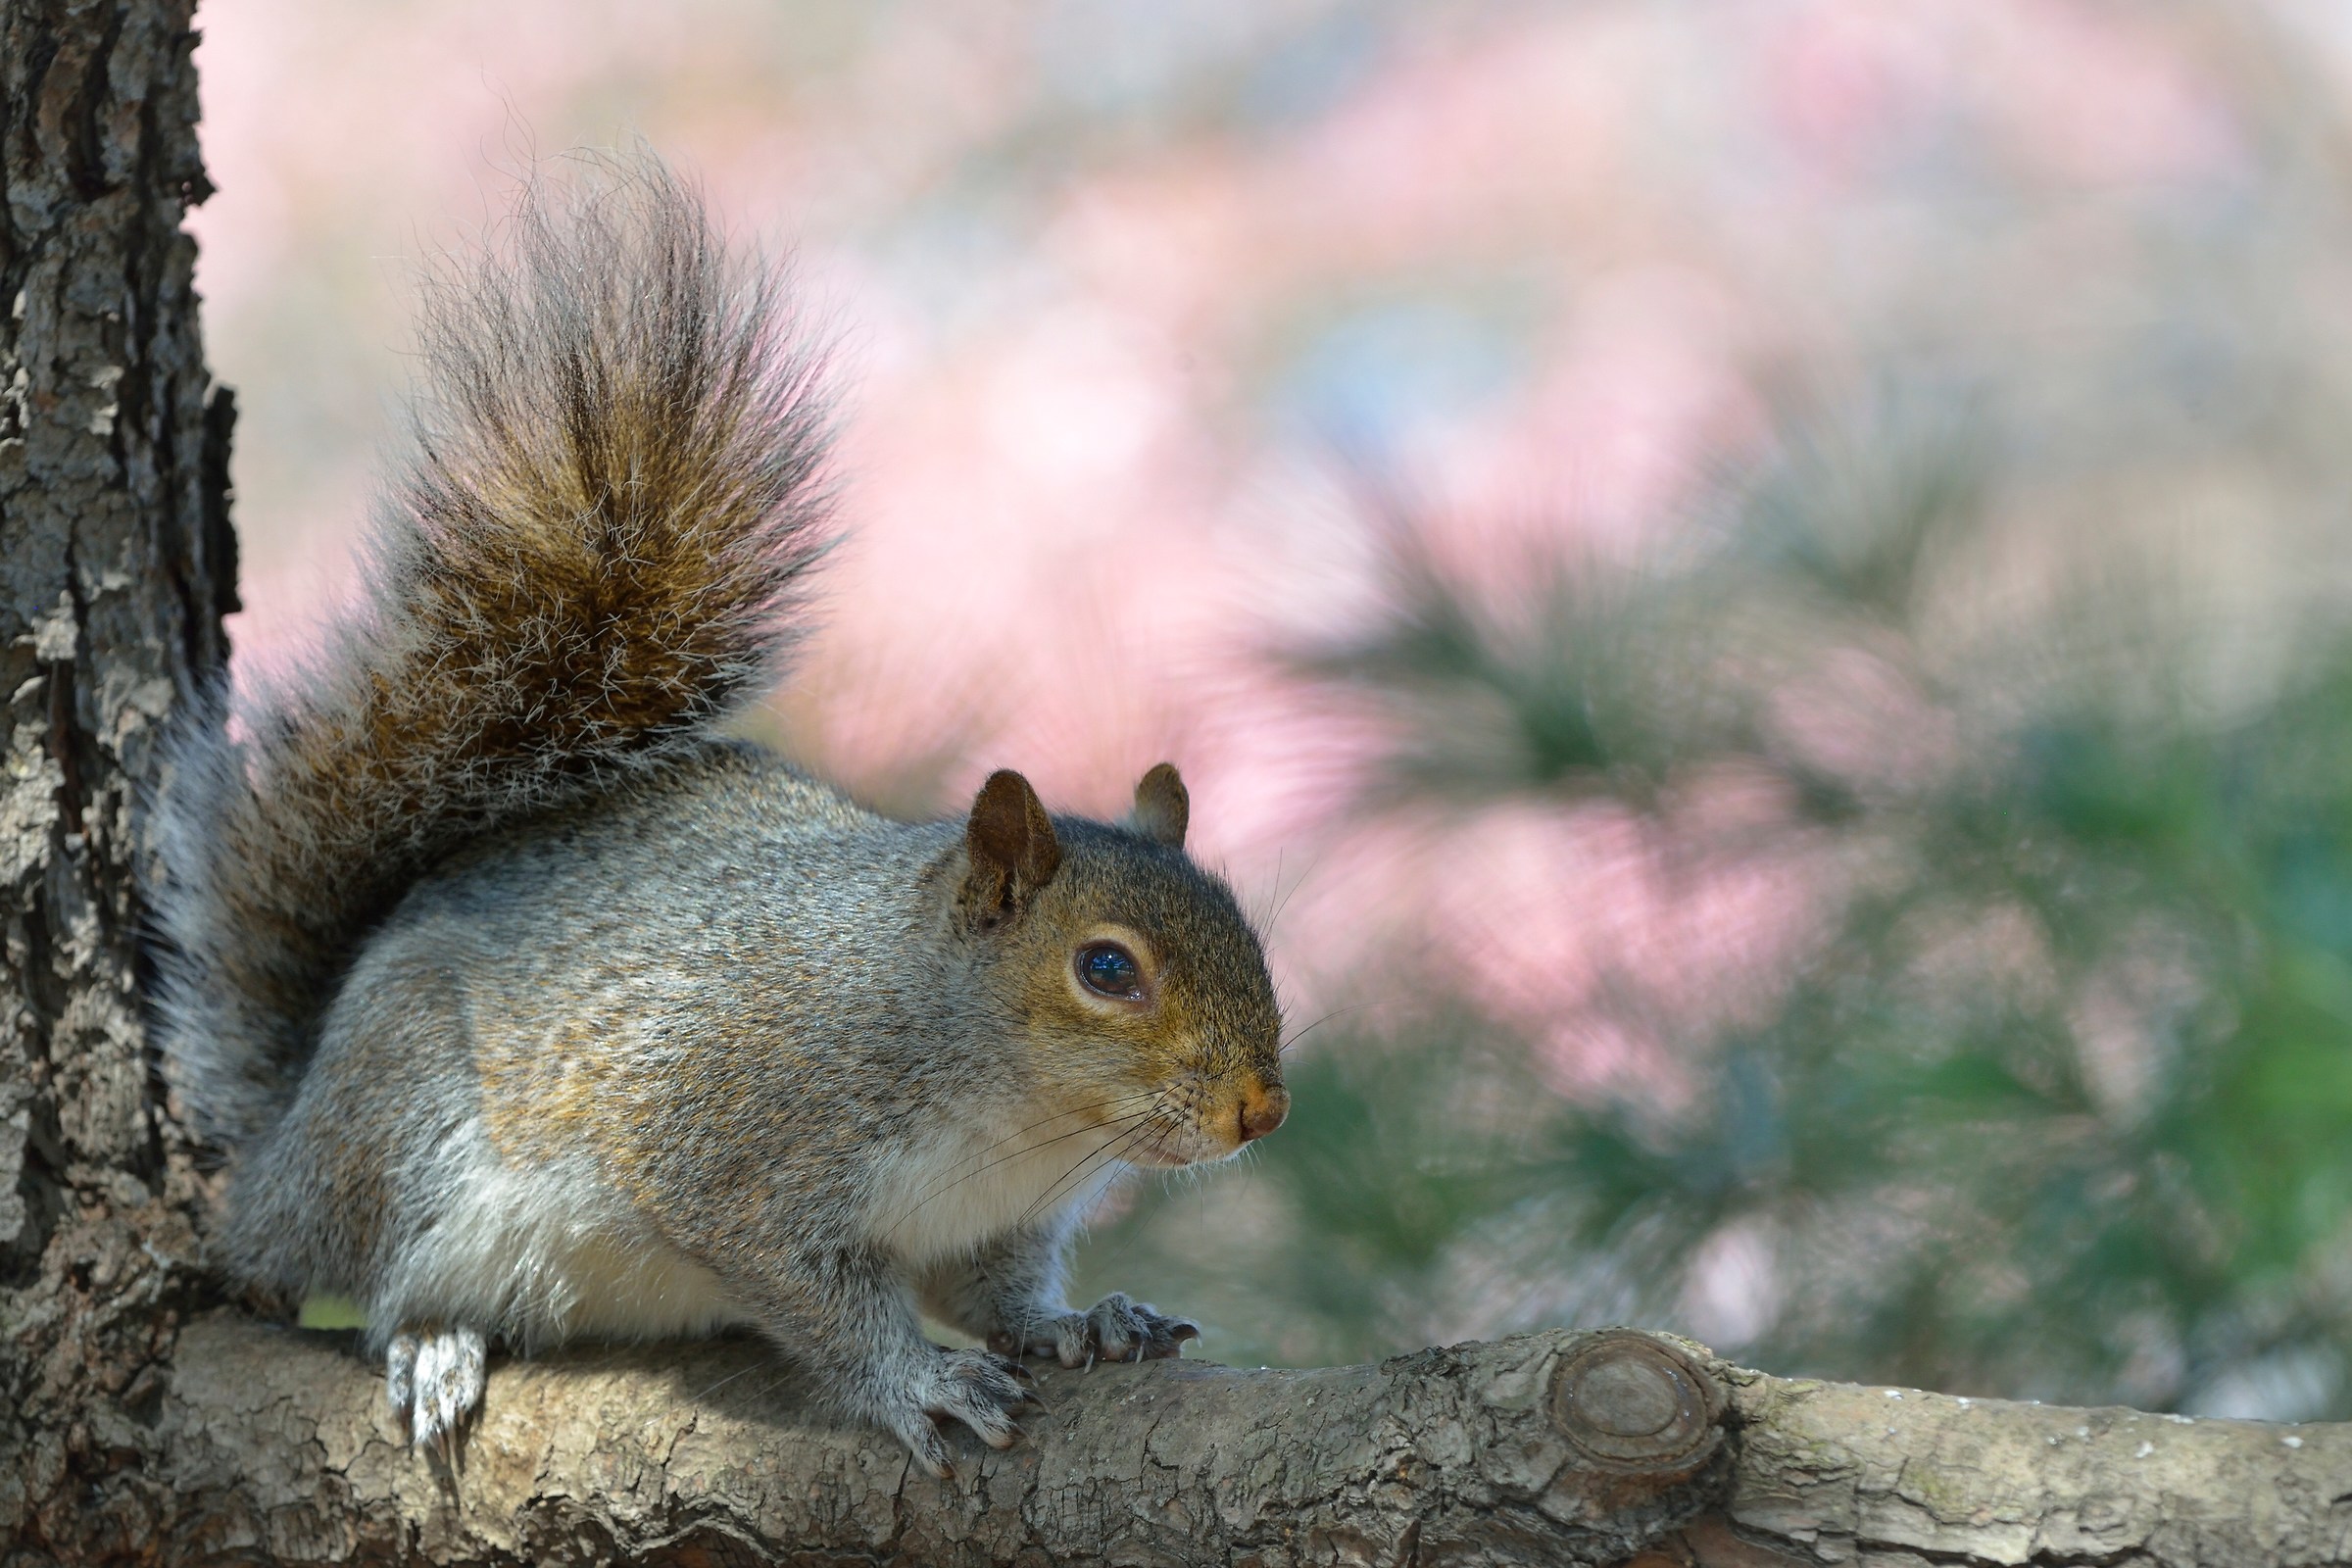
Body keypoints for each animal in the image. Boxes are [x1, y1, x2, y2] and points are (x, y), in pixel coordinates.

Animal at [149, 153, 1289, 1477]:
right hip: (405, 1135)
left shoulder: (990, 1223)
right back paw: (434, 1343)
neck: (1012, 1109)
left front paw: (1079, 1324)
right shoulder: (732, 1143)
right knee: (379, 1278)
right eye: (1106, 968)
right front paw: (916, 1382)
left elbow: (997, 1294)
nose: (1264, 1107)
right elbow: (813, 1294)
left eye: (1249, 934)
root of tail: (280, 1146)